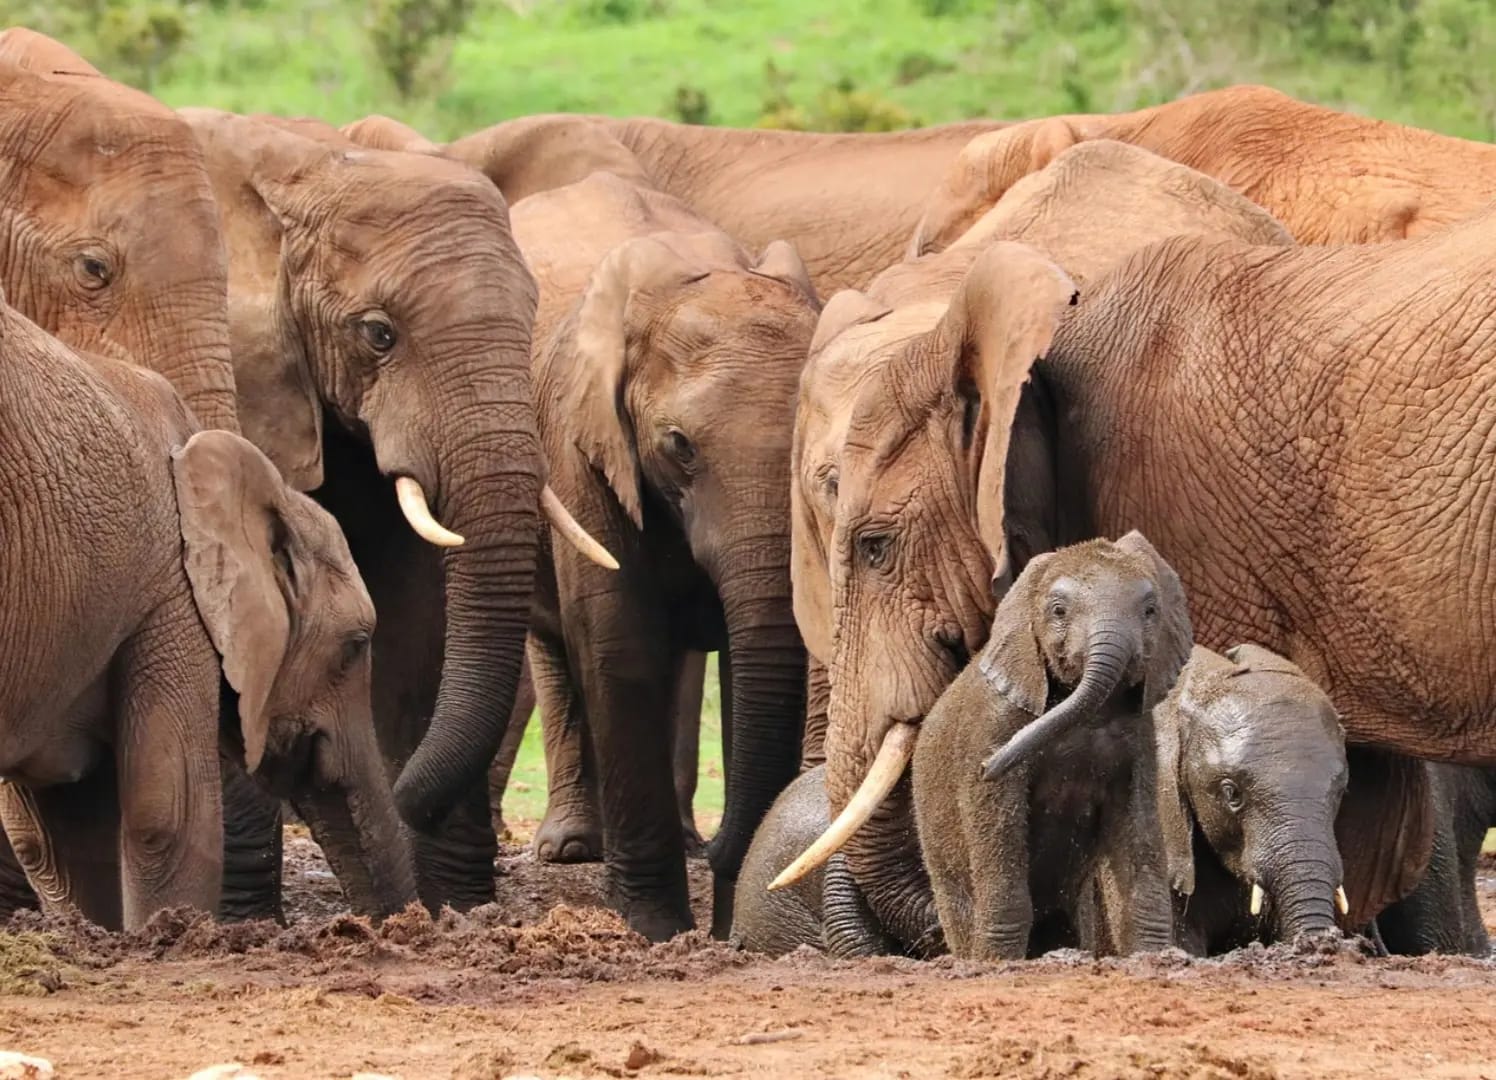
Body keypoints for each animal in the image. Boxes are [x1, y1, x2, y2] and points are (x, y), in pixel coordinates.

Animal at [0, 293, 416, 928]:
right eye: (354, 646)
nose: (409, 925)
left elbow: (55, 835)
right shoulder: (174, 592)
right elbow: (167, 814)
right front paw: (169, 936)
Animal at [179, 110, 611, 913]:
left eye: (531, 321)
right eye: (379, 334)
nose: (404, 793)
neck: (307, 167)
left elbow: (416, 615)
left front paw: (451, 908)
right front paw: (243, 920)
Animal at [508, 170, 820, 939]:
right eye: (679, 445)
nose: (725, 848)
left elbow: (749, 662)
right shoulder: (579, 444)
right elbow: (618, 643)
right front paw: (653, 927)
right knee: (555, 645)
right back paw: (571, 848)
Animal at [909, 533, 1190, 960]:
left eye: (1150, 611)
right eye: (1058, 611)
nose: (988, 766)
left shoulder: (1140, 742)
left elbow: (1139, 840)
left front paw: (1152, 957)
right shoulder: (992, 726)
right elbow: (1000, 837)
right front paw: (997, 962)